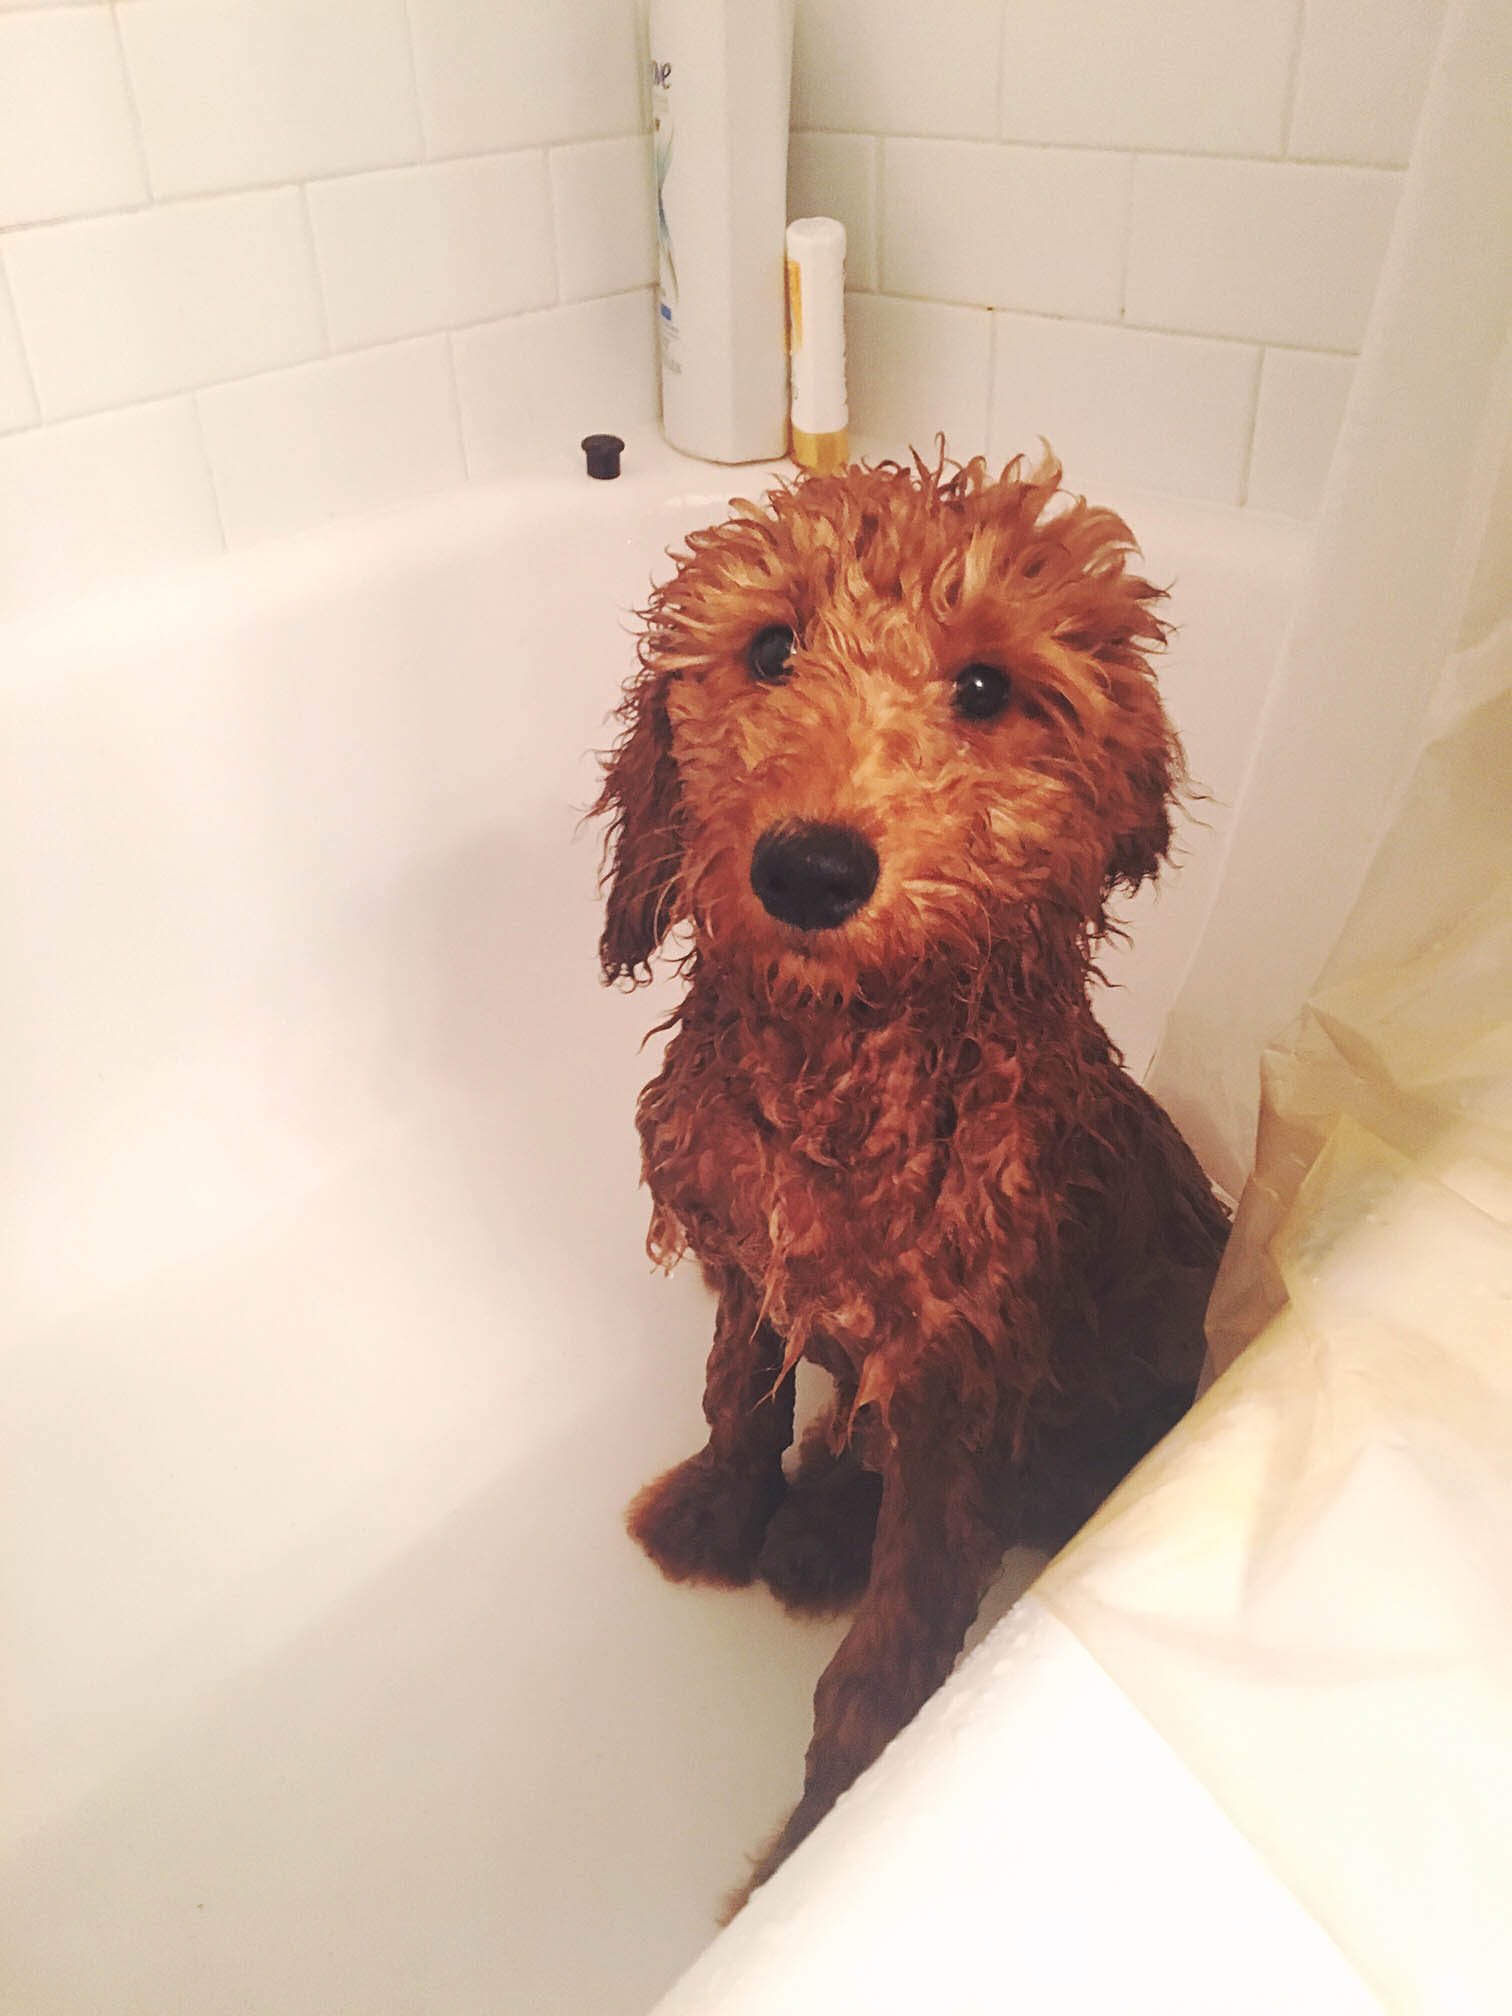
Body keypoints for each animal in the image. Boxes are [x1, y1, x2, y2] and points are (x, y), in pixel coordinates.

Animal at [592, 449, 1233, 1911]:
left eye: (986, 689)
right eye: (771, 649)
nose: (810, 866)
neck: (843, 1061)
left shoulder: (959, 1384)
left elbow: (891, 1655)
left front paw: (814, 1844)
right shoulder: (748, 1259)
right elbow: (738, 1396)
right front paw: (718, 1511)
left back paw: (828, 1533)